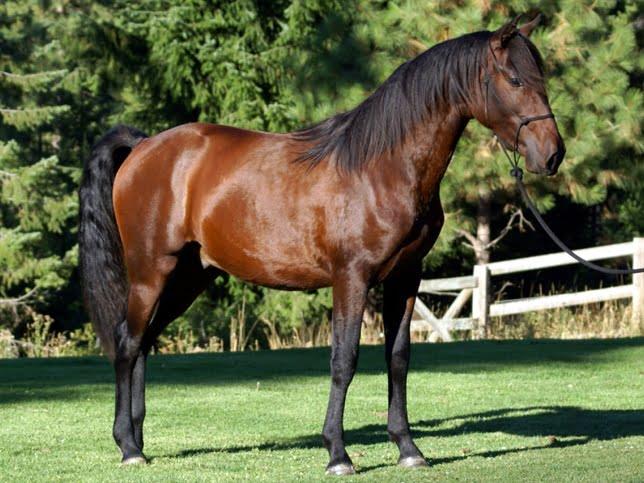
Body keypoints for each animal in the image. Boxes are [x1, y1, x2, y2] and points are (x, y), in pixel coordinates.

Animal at [79, 14, 565, 475]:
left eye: (542, 77)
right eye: (515, 79)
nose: (552, 155)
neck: (381, 168)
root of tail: (144, 147)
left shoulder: (406, 278)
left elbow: (398, 358)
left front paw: (408, 449)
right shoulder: (351, 278)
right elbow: (343, 360)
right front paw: (337, 453)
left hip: (189, 277)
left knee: (144, 340)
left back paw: (137, 439)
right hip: (151, 271)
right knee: (127, 341)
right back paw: (128, 447)